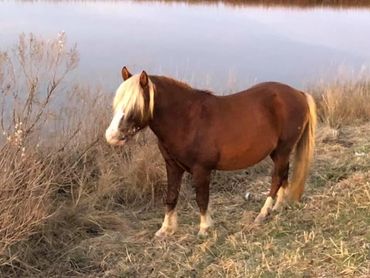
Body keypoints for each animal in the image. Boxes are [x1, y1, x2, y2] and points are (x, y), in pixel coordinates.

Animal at [105, 67, 316, 237]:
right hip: (278, 152)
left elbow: (201, 198)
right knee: (283, 175)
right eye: (117, 103)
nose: (111, 136)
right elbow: (171, 196)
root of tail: (298, 93)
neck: (186, 120)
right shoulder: (172, 166)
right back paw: (279, 207)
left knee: (276, 178)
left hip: (283, 150)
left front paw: (204, 229)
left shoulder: (201, 169)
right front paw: (165, 230)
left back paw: (263, 213)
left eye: (134, 105)